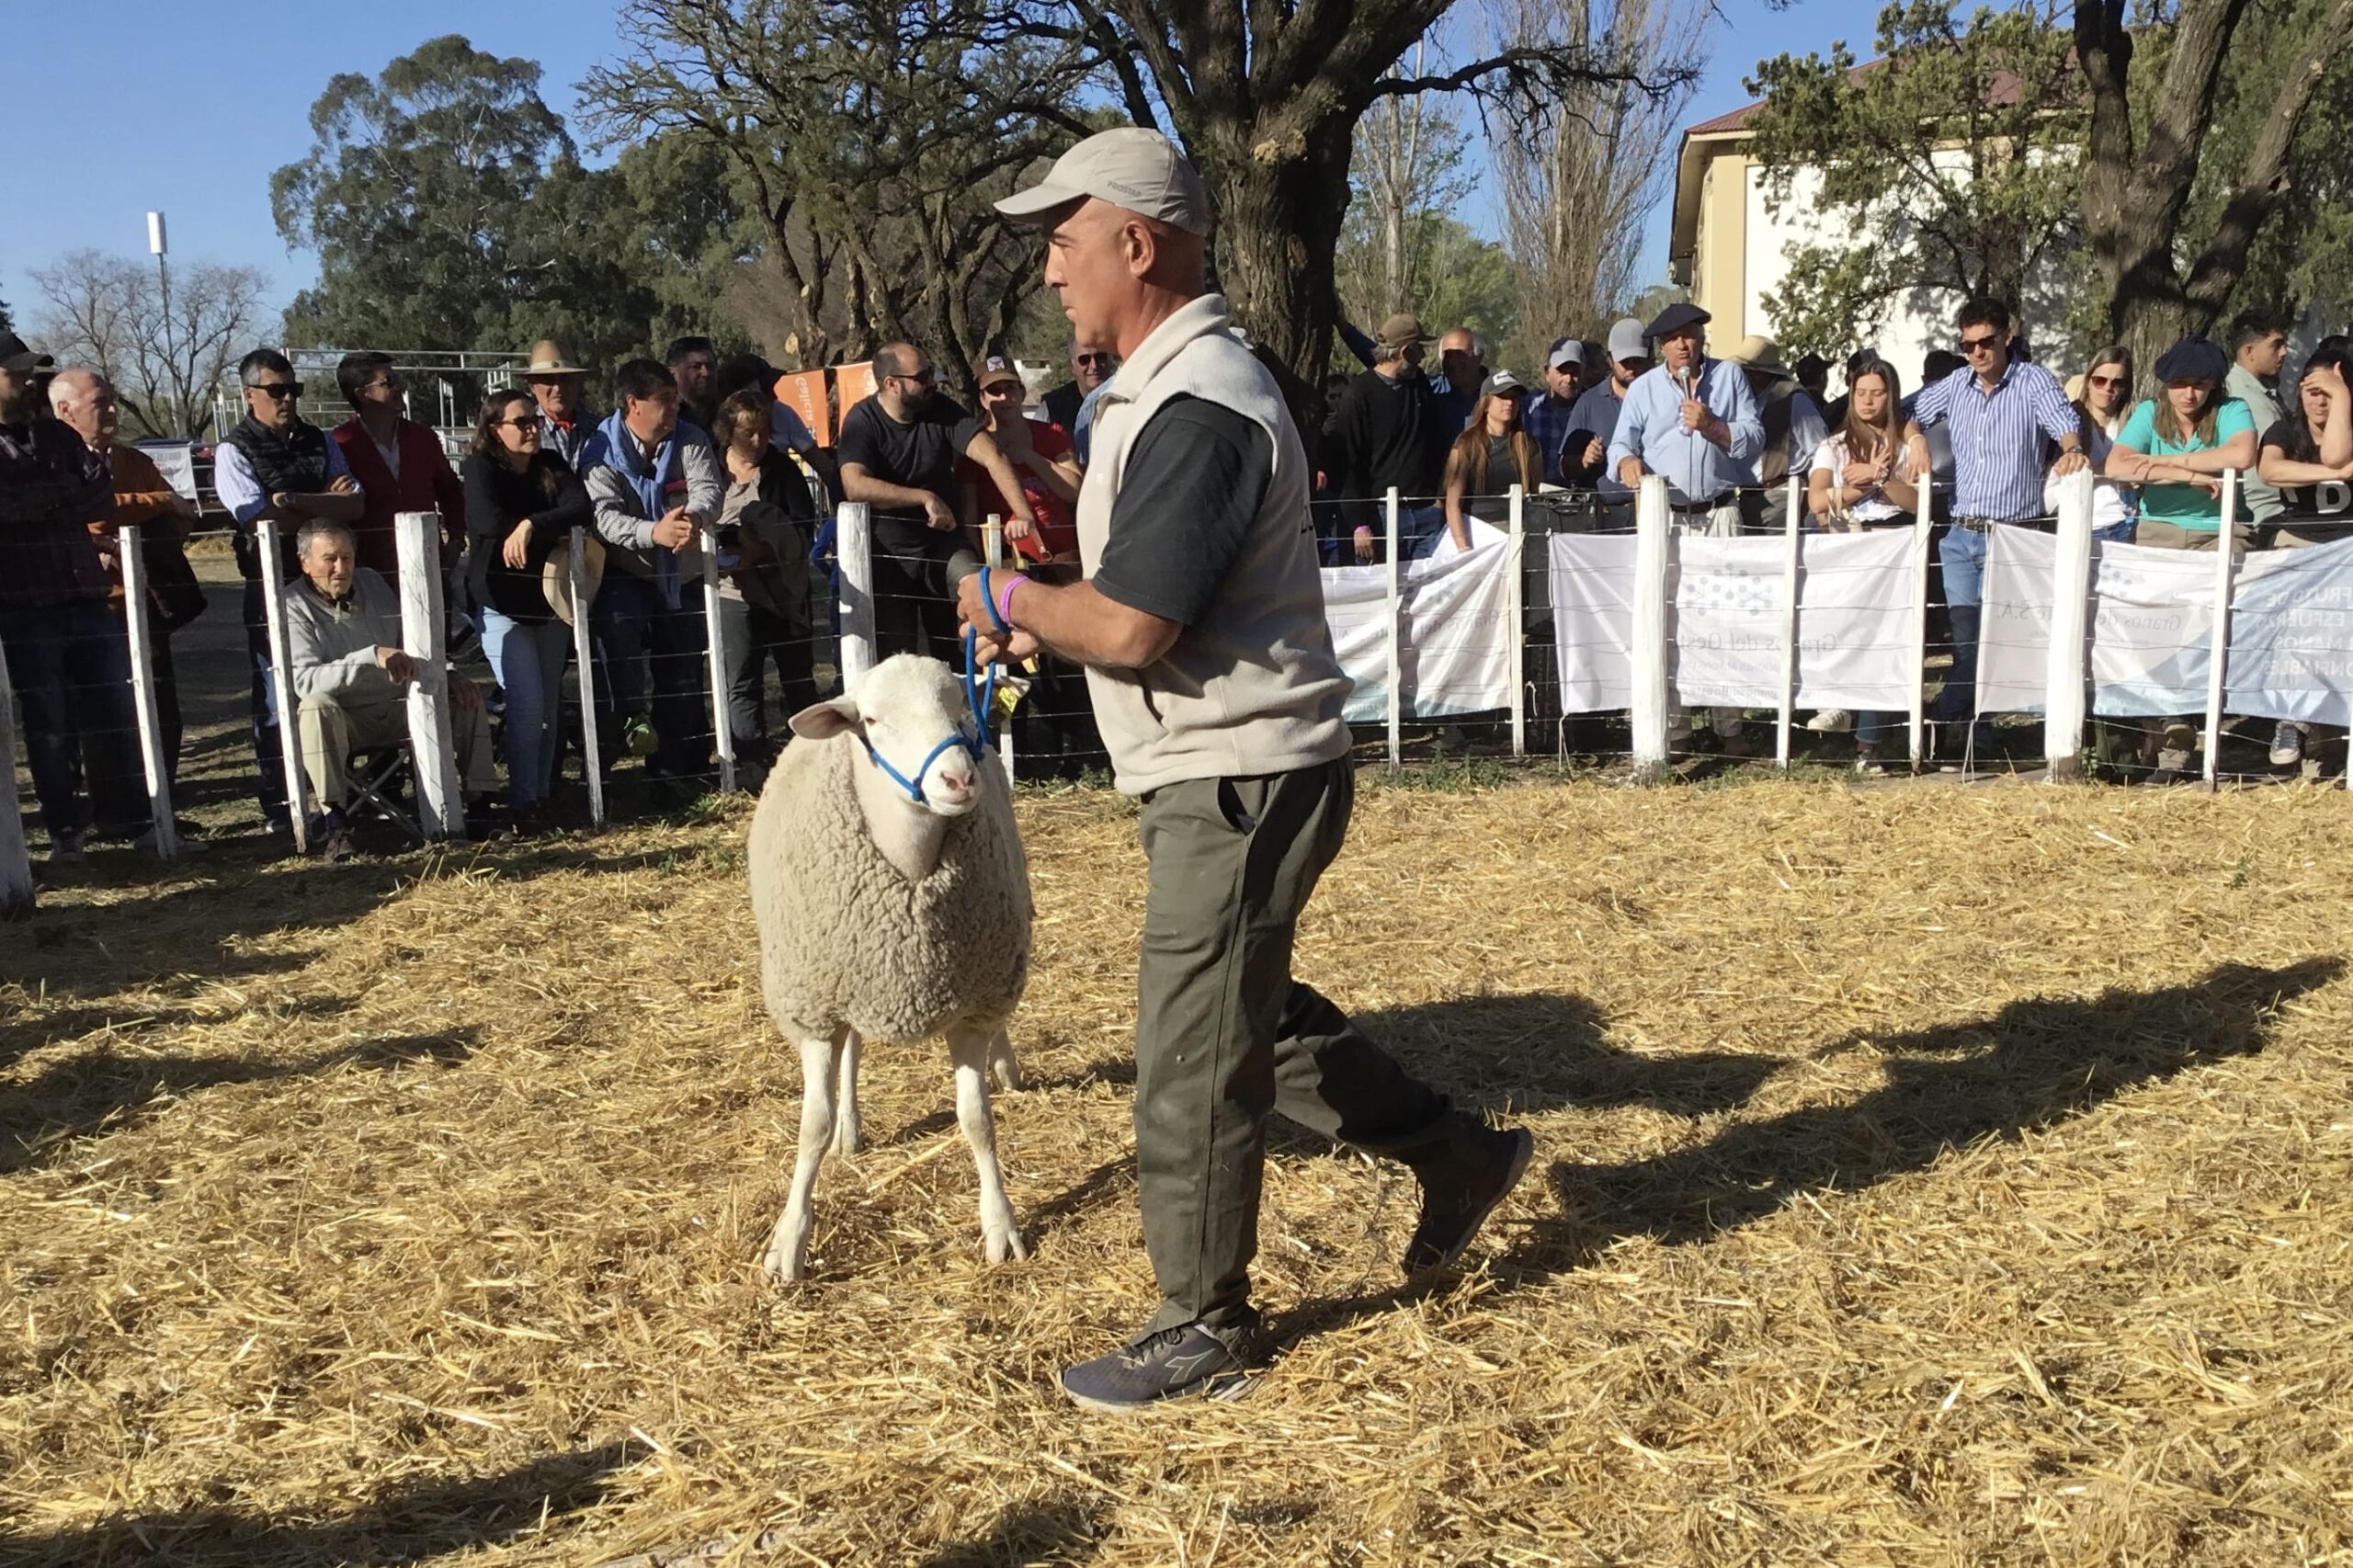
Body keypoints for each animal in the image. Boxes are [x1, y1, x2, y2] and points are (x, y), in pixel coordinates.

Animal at [753, 654, 1030, 1280]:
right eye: (874, 721)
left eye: (961, 706)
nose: (959, 780)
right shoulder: (816, 1007)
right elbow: (812, 1126)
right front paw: (788, 1242)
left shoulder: (973, 1004)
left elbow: (977, 1121)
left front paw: (1000, 1227)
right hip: (849, 983)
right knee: (852, 1051)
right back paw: (851, 1130)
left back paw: (1007, 1067)